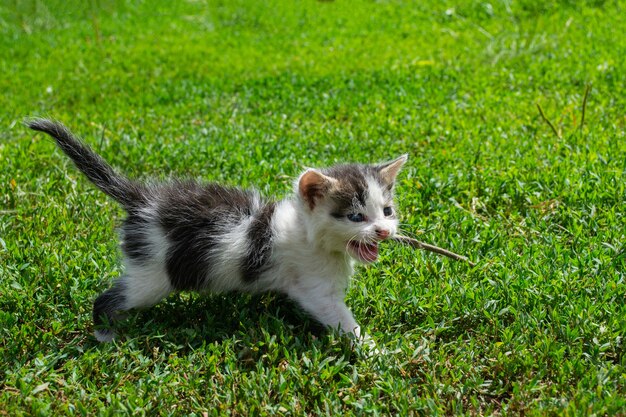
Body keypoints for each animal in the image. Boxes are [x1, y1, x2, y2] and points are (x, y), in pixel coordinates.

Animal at [29, 118, 408, 342]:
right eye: (355, 217)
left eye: (387, 211)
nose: (383, 232)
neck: (308, 233)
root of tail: (143, 200)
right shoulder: (315, 288)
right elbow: (340, 318)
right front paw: (371, 348)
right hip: (153, 276)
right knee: (111, 298)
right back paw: (106, 332)